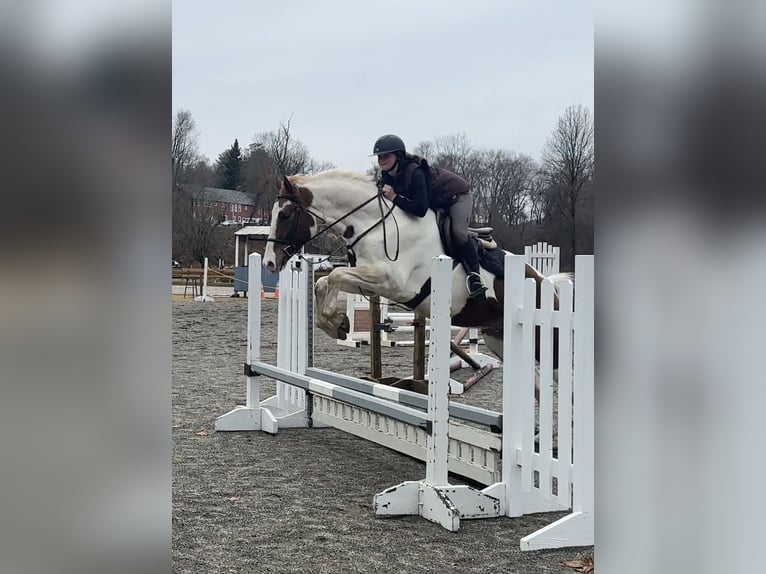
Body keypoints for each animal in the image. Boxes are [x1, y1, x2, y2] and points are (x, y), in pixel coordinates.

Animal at [264, 169, 568, 364]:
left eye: (286, 215)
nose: (269, 262)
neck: (375, 224)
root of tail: (546, 285)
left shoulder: (392, 281)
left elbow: (336, 274)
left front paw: (337, 322)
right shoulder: (370, 280)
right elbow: (324, 282)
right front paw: (336, 325)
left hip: (545, 343)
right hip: (500, 340)